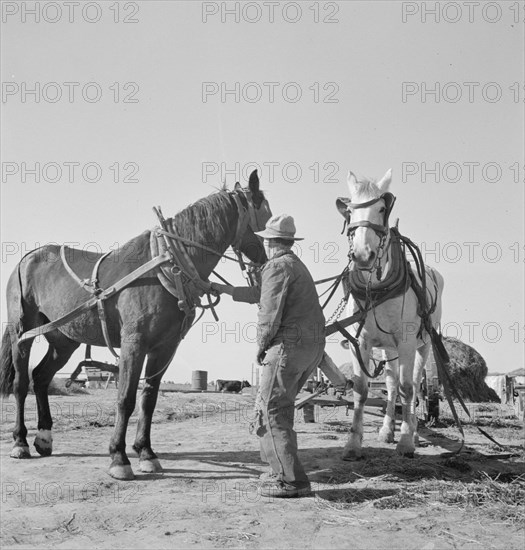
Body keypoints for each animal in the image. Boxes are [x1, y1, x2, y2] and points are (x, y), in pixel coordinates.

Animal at [0, 170, 270, 480]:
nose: (264, 259)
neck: (165, 266)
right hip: (22, 332)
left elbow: (148, 400)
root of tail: (27, 258)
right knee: (21, 383)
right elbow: (126, 399)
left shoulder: (164, 348)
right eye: (263, 212)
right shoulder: (134, 343)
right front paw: (119, 457)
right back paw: (20, 442)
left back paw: (44, 438)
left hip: (63, 340)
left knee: (41, 377)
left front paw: (146, 453)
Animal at [336, 169, 442, 462]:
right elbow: (361, 390)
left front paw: (406, 442)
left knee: (413, 384)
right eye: (349, 210)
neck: (377, 289)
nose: (363, 255)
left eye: (382, 208)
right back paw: (387, 430)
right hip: (388, 348)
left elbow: (408, 388)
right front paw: (353, 444)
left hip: (422, 345)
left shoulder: (406, 342)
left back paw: (413, 432)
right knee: (392, 385)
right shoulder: (360, 342)